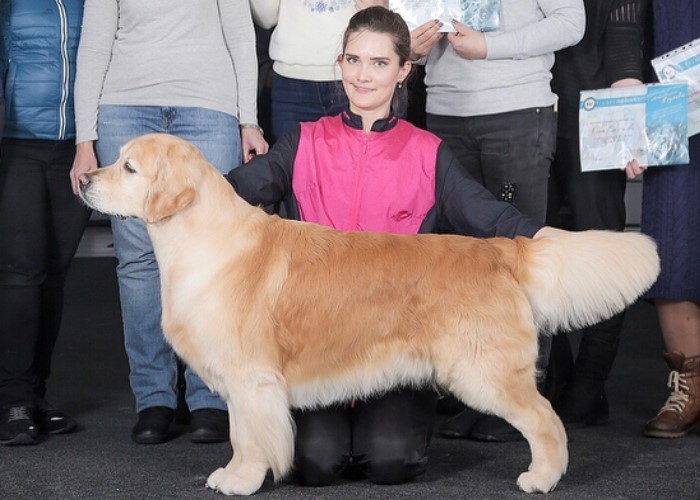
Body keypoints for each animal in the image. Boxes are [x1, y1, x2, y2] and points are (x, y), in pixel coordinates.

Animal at [79, 134, 660, 496]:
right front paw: (238, 474)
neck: (203, 240)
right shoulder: (248, 382)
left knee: (547, 422)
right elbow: (245, 436)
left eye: (129, 167)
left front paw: (242, 481)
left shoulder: (252, 378)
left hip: (484, 372)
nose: (83, 178)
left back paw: (542, 478)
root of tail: (501, 248)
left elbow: (250, 437)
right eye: (116, 160)